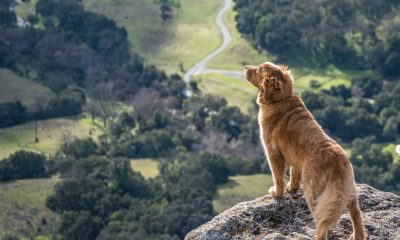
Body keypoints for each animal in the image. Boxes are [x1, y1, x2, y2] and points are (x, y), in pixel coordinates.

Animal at [244, 62, 366, 240]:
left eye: (259, 70)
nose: (246, 67)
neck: (280, 99)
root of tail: (337, 160)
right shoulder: (295, 158)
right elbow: (294, 174)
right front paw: (292, 188)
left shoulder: (273, 153)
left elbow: (278, 177)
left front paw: (277, 193)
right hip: (348, 192)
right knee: (356, 214)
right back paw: (357, 235)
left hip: (314, 192)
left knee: (322, 222)